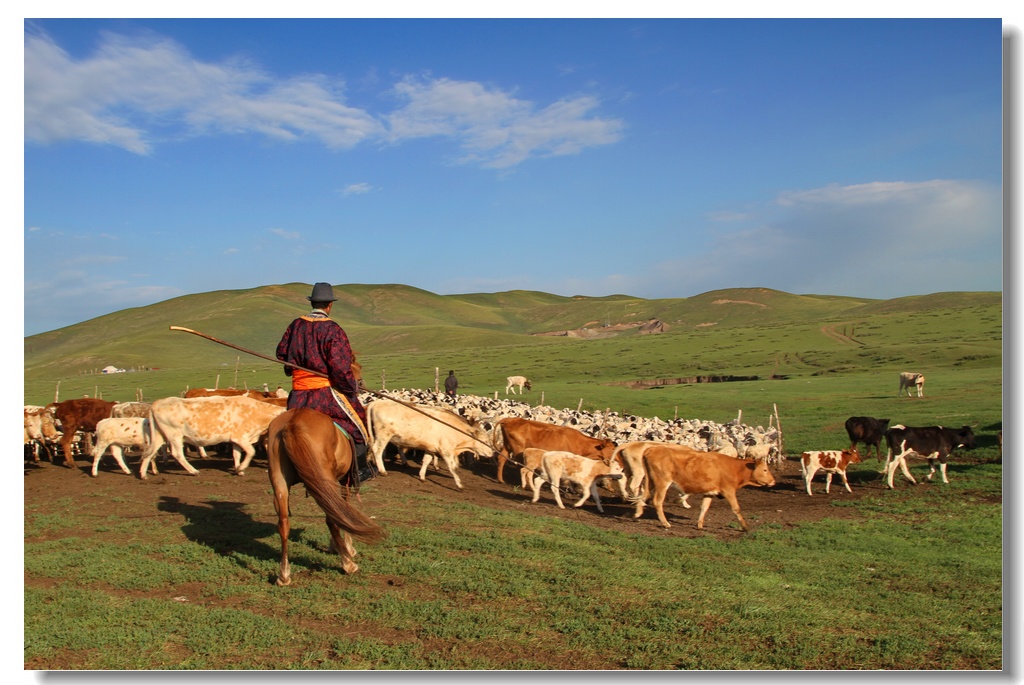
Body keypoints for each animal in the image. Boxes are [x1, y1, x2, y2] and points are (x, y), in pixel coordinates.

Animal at [136, 393, 286, 479]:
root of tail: (158, 402)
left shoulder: (236, 439)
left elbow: (237, 454)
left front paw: (238, 470)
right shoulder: (241, 437)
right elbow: (251, 451)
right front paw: (241, 468)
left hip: (159, 434)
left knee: (150, 452)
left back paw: (143, 474)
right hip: (174, 435)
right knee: (177, 453)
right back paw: (193, 471)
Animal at [266, 405, 385, 589]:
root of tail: (293, 423)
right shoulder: (344, 480)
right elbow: (344, 511)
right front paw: (346, 547)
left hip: (279, 481)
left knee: (283, 523)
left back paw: (283, 575)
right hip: (325, 480)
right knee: (332, 517)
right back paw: (348, 564)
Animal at [630, 446, 774, 532]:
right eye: (765, 470)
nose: (773, 481)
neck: (734, 468)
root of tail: (651, 449)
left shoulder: (710, 493)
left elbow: (704, 508)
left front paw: (700, 525)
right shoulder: (729, 491)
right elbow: (736, 508)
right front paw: (745, 526)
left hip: (651, 481)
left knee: (643, 495)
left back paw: (637, 514)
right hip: (662, 482)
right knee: (657, 501)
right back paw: (665, 523)